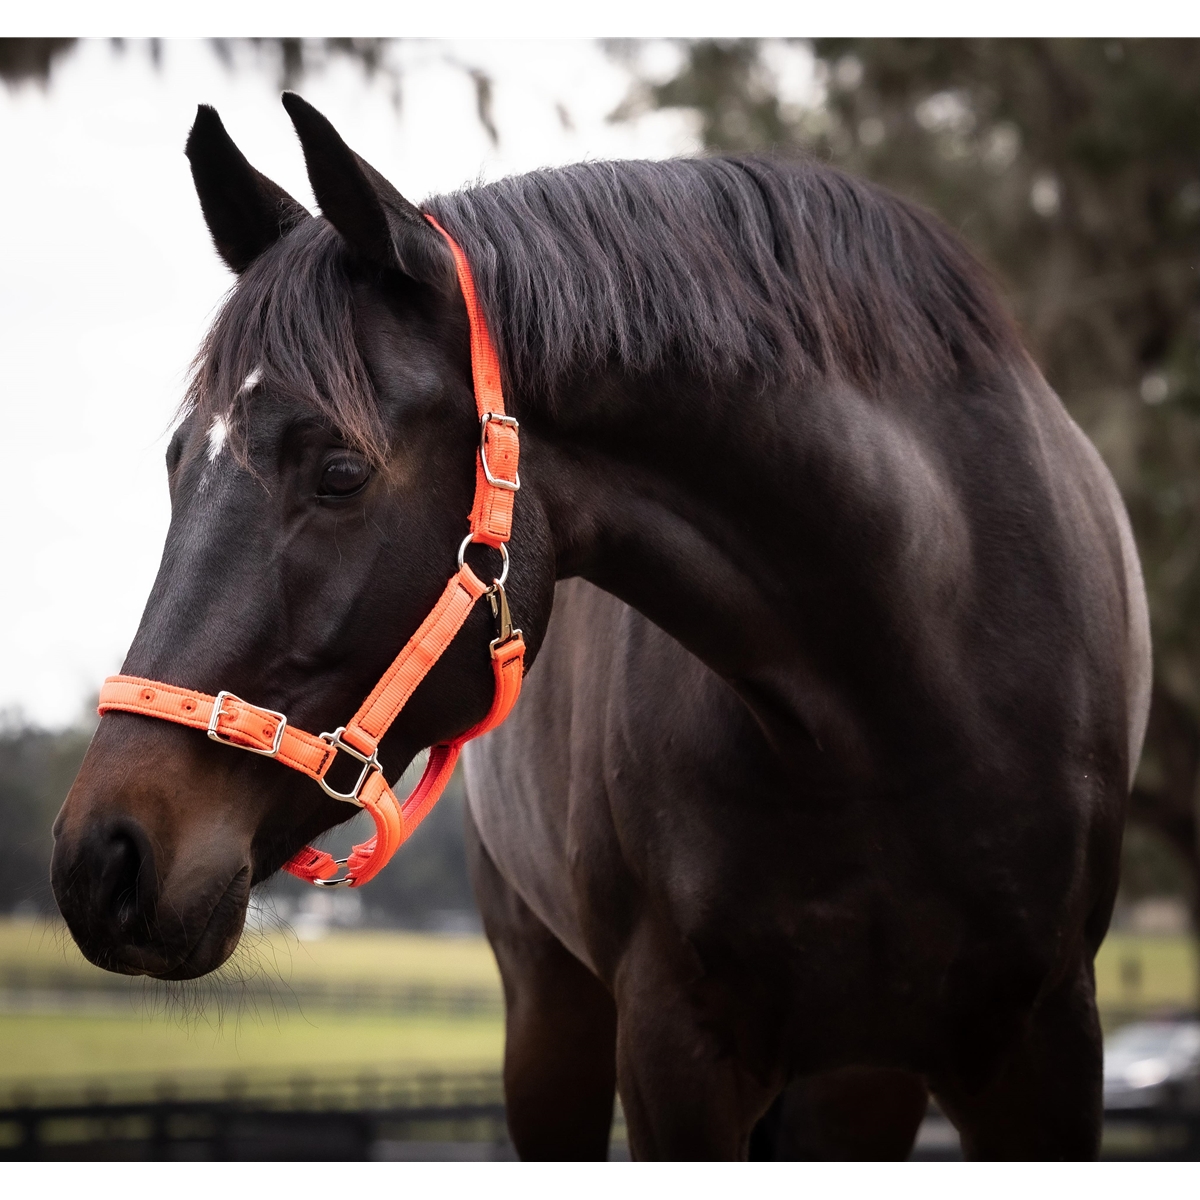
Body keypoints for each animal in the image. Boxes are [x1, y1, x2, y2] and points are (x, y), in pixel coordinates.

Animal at [49, 93, 1152, 1161]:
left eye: (340, 471)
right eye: (179, 462)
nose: (103, 861)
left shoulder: (1045, 1045)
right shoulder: (675, 1048)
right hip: (556, 1017)